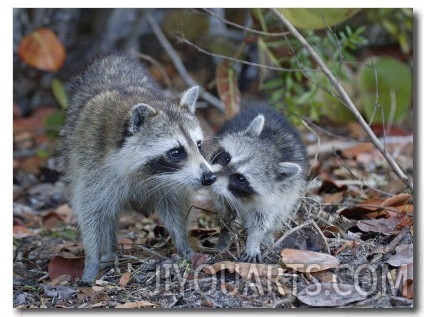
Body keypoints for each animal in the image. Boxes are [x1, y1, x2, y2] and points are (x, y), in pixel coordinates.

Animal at [60, 54, 216, 282]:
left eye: (199, 145)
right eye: (176, 152)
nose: (209, 177)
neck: (145, 172)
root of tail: (112, 58)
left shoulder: (172, 181)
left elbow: (175, 207)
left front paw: (183, 244)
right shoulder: (91, 167)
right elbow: (91, 212)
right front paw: (92, 258)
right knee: (107, 215)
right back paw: (108, 252)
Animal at [208, 105, 308, 262]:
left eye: (240, 178)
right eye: (226, 158)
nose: (208, 177)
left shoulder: (276, 194)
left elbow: (262, 220)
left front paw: (255, 239)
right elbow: (224, 209)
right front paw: (226, 232)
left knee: (281, 212)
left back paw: (268, 237)